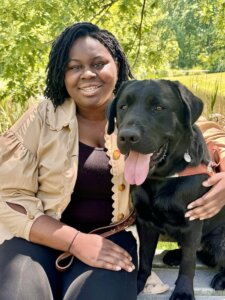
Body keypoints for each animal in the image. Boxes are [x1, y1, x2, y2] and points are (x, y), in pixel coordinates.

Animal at [107, 79, 225, 300]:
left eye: (159, 108)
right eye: (123, 107)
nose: (127, 136)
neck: (161, 179)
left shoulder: (192, 222)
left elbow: (188, 264)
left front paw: (183, 292)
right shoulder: (145, 223)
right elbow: (144, 258)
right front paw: (139, 282)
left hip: (220, 240)